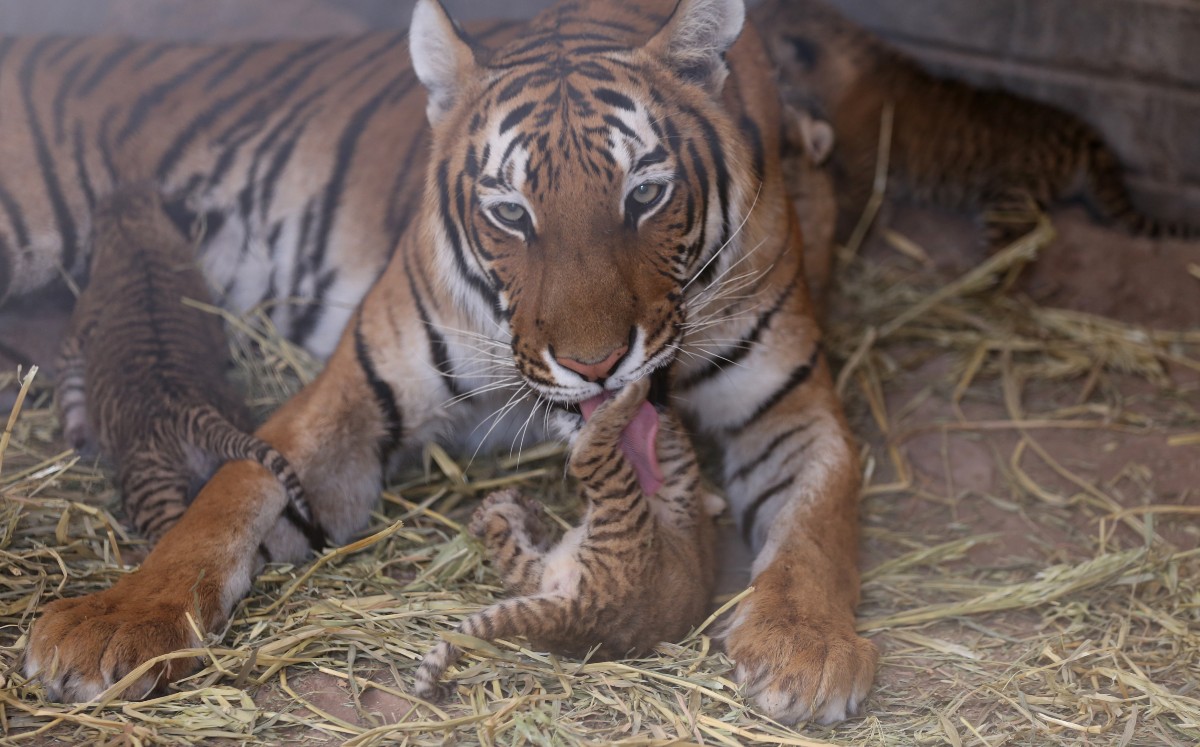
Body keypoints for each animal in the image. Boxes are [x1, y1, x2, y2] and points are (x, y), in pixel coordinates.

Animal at [54, 184, 322, 548]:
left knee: (169, 534)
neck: (133, 232)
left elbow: (70, 388)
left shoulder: (76, 335)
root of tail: (192, 409)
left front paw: (77, 435)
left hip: (152, 487)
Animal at [413, 375, 721, 701]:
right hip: (544, 570)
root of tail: (581, 607)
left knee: (583, 459)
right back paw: (508, 506)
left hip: (615, 508)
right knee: (511, 545)